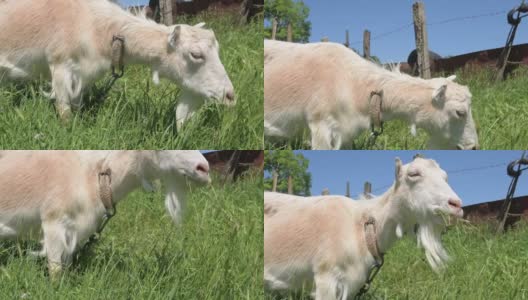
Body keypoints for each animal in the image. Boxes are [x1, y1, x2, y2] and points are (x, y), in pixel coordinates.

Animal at [0, 0, 235, 128]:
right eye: (196, 54)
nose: (230, 96)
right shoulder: (60, 65)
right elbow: (64, 110)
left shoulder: (82, 75)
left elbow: (77, 105)